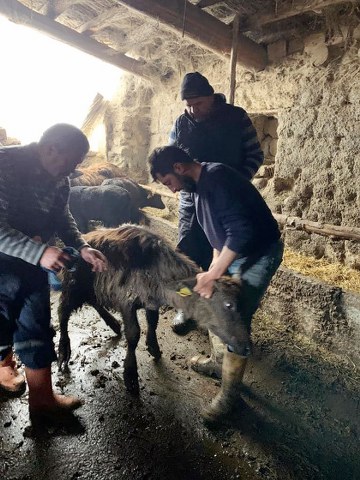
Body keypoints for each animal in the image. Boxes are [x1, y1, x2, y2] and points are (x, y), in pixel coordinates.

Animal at [59, 225, 250, 394]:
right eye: (228, 304)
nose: (246, 347)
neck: (156, 269)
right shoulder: (126, 301)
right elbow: (134, 334)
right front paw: (130, 375)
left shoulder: (151, 302)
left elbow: (153, 323)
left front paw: (154, 348)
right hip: (73, 284)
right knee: (63, 312)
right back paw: (63, 351)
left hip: (90, 286)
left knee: (94, 301)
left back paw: (113, 324)